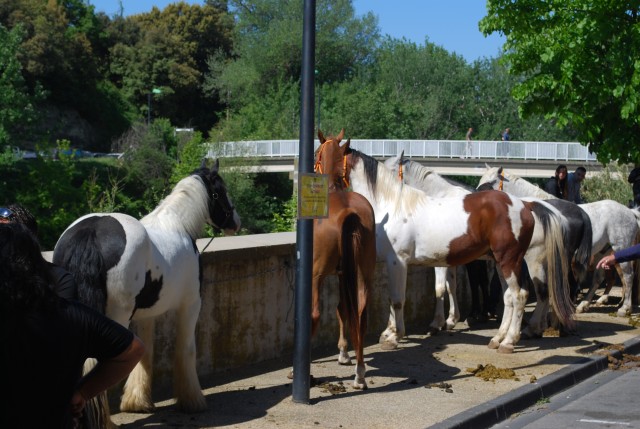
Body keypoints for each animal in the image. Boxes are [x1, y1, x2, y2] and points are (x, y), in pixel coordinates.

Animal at [51, 157, 241, 418]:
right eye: (221, 191)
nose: (236, 223)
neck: (178, 227)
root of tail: (91, 231)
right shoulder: (191, 304)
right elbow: (186, 349)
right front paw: (192, 400)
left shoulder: (145, 315)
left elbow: (146, 354)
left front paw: (137, 402)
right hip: (117, 316)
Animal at [308, 130, 378, 388]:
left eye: (316, 154)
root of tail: (350, 213)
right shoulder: (343, 273)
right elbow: (343, 309)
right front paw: (345, 352)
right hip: (364, 271)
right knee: (361, 314)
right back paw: (359, 372)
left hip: (316, 274)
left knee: (315, 315)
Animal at [478, 166, 636, 316]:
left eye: (492, 181)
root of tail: (631, 213)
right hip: (603, 252)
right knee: (599, 278)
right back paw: (584, 305)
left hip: (620, 248)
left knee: (628, 276)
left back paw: (625, 308)